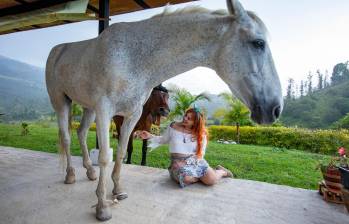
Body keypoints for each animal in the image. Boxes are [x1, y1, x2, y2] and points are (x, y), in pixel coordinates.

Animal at [44, 0, 282, 220]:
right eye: (258, 43)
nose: (275, 108)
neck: (132, 57)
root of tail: (56, 50)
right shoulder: (105, 111)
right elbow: (104, 156)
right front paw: (102, 207)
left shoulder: (131, 115)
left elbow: (121, 152)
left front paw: (118, 190)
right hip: (62, 103)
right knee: (67, 138)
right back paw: (70, 175)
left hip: (88, 107)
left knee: (81, 133)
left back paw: (90, 172)